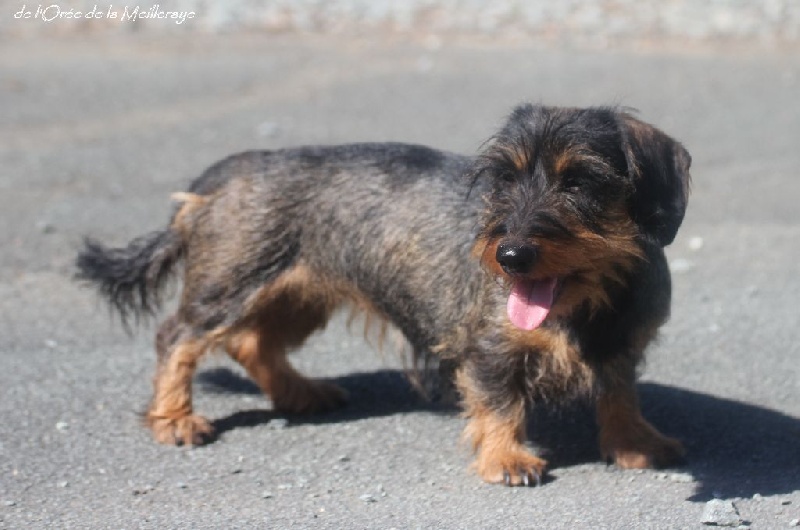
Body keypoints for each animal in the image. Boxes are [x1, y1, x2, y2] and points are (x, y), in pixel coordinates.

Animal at [75, 102, 692, 482]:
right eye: (504, 178)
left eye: (580, 181)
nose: (510, 255)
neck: (587, 305)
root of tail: (216, 177)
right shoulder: (486, 350)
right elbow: (499, 403)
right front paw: (506, 456)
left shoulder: (622, 346)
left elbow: (619, 393)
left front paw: (635, 441)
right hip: (230, 285)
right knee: (176, 337)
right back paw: (174, 417)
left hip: (298, 297)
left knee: (251, 343)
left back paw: (300, 392)